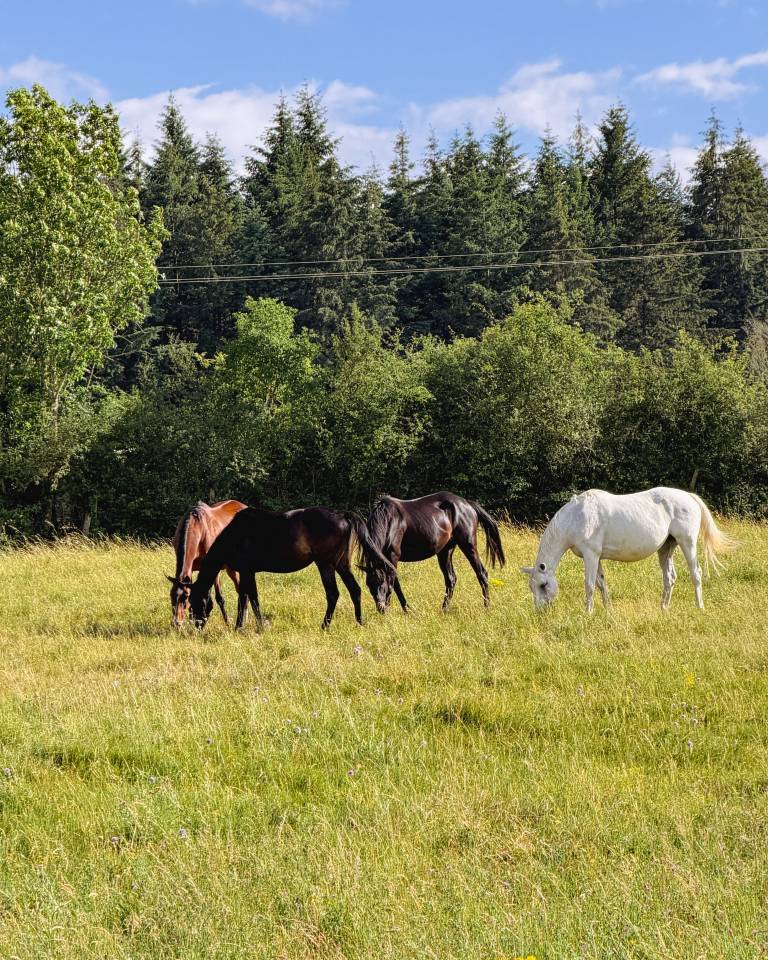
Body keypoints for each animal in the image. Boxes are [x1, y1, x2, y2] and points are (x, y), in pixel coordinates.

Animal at [188, 505, 394, 631]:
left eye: (195, 602)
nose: (195, 626)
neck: (236, 534)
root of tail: (343, 515)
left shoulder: (247, 571)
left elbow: (251, 598)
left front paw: (258, 627)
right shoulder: (246, 572)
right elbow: (244, 598)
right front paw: (239, 627)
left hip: (326, 564)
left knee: (334, 594)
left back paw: (325, 625)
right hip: (340, 564)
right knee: (353, 590)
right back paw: (358, 622)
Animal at [362, 492, 505, 613]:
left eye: (381, 582)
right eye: (368, 584)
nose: (381, 608)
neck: (389, 520)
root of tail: (467, 504)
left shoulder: (393, 556)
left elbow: (392, 585)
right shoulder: (387, 559)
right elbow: (396, 584)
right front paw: (407, 609)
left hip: (468, 545)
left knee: (482, 574)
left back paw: (486, 607)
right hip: (445, 551)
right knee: (451, 579)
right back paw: (444, 609)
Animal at [520, 487, 737, 613]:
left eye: (543, 585)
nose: (540, 612)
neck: (576, 517)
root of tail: (689, 497)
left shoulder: (590, 555)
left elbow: (589, 585)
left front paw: (587, 613)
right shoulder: (597, 558)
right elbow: (601, 584)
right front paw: (609, 611)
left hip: (687, 543)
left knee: (695, 573)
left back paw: (700, 607)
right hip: (666, 547)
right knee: (669, 578)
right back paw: (663, 608)